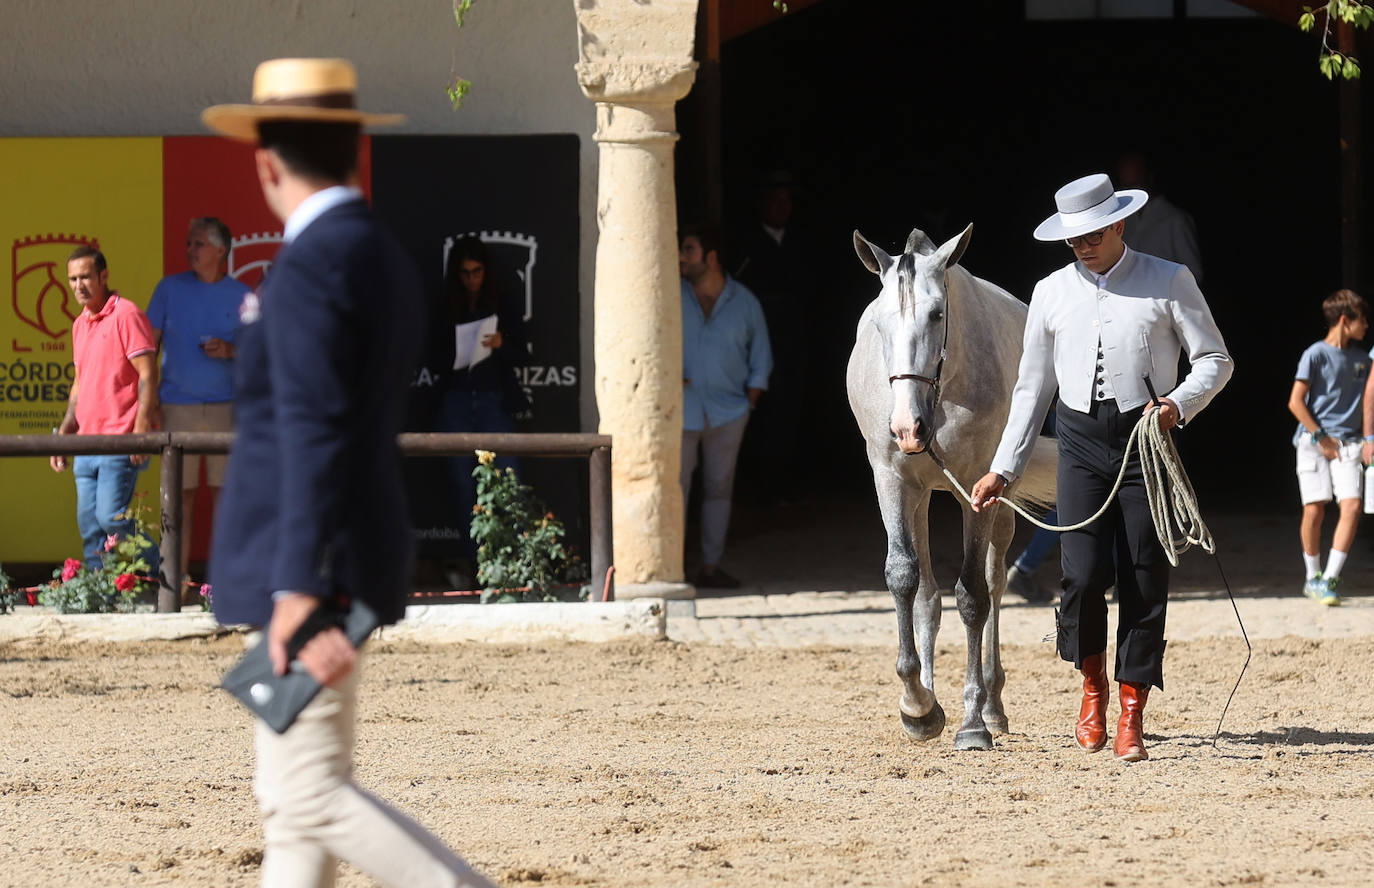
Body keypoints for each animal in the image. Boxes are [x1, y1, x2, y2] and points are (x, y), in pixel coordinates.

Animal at [846, 225, 1056, 750]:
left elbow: (973, 596)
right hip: (919, 497)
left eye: (937, 314)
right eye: (879, 322)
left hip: (1001, 498)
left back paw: (993, 706)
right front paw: (918, 707)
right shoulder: (892, 480)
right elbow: (904, 579)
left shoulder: (976, 493)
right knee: (926, 594)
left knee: (996, 581)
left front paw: (973, 721)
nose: (906, 427)